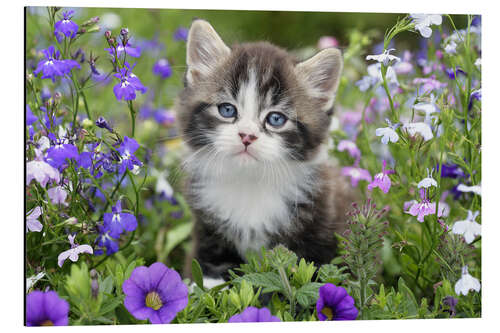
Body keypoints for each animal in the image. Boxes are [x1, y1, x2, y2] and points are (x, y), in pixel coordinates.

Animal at [176, 19, 356, 284]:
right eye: (227, 110)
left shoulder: (321, 232)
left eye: (275, 119)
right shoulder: (209, 236)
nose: (247, 136)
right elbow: (210, 279)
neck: (250, 183)